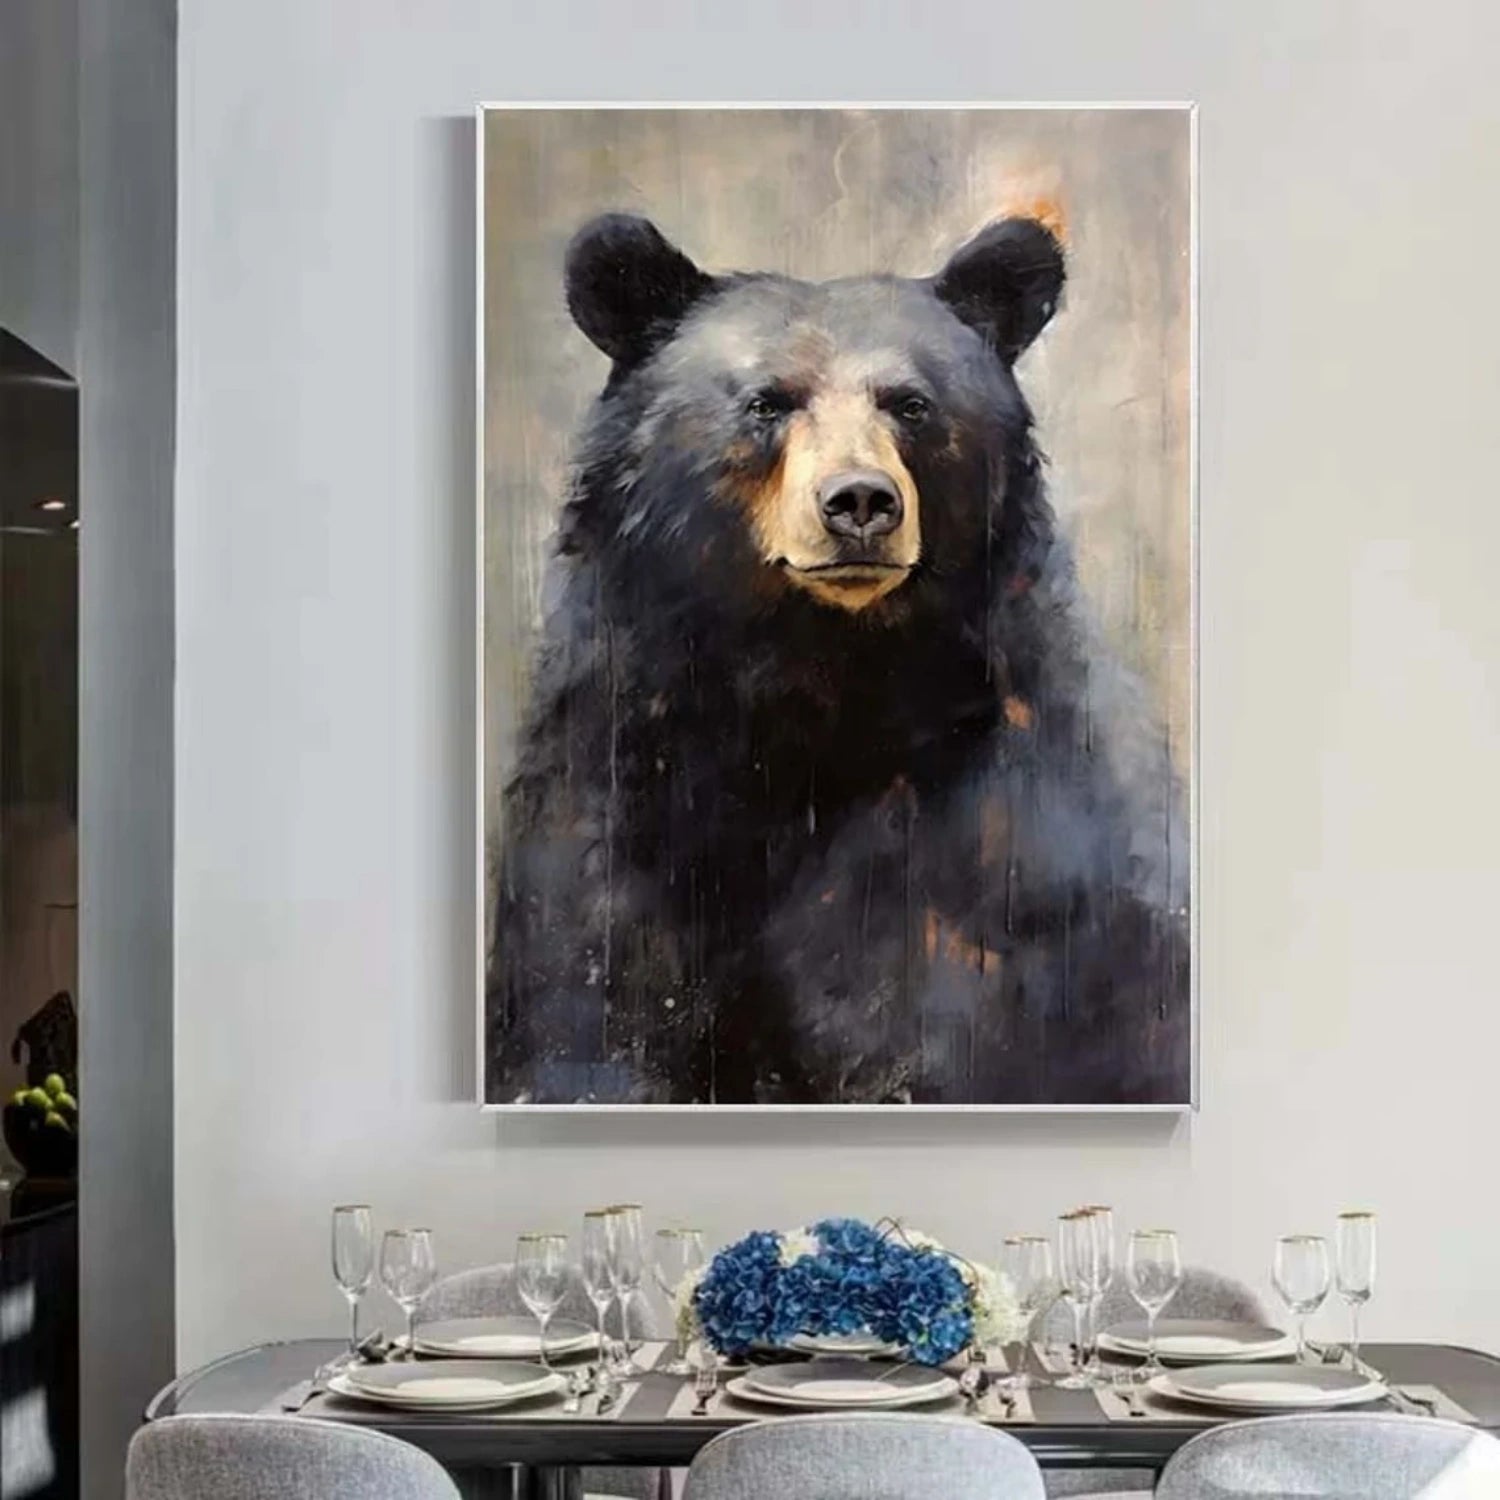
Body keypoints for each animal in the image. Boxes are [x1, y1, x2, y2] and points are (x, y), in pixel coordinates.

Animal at [486, 212, 1190, 1106]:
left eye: (911, 404)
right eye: (766, 402)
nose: (860, 501)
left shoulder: (1013, 854)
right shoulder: (612, 786)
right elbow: (585, 1012)